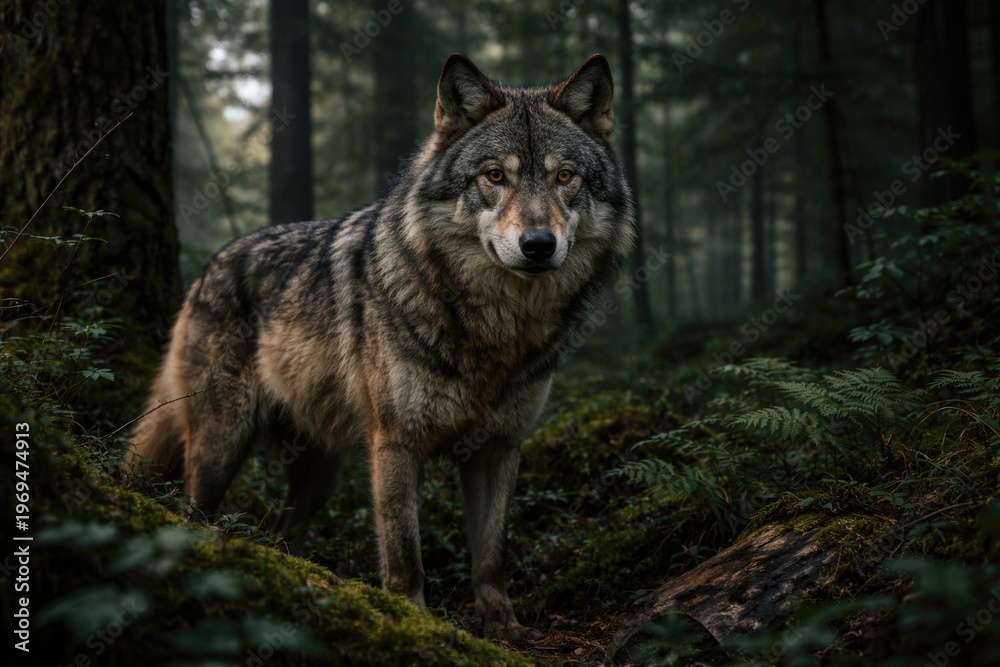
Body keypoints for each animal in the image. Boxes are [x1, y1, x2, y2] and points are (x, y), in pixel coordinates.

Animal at [124, 53, 636, 640]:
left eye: (565, 177)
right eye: (495, 176)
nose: (537, 245)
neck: (494, 331)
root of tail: (210, 265)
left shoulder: (500, 447)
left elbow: (491, 555)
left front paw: (504, 630)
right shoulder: (395, 443)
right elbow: (405, 554)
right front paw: (413, 623)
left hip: (320, 474)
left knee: (282, 531)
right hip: (221, 446)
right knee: (193, 512)